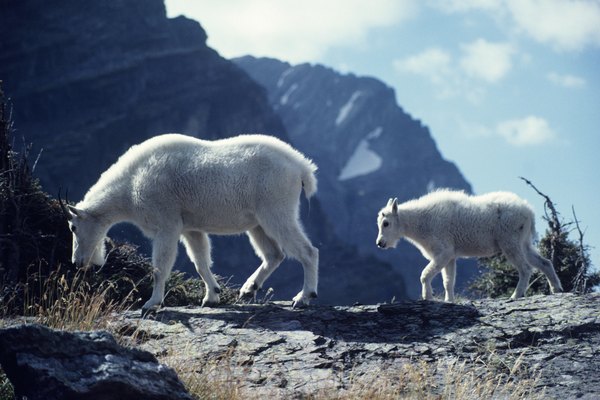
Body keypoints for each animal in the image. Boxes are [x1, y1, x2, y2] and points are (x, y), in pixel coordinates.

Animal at [63, 134, 322, 312]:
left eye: (73, 227)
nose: (78, 263)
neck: (129, 185)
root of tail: (301, 167)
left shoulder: (166, 222)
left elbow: (160, 266)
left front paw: (152, 303)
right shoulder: (190, 227)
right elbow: (200, 261)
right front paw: (212, 296)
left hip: (276, 208)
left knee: (308, 251)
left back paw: (303, 297)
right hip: (257, 221)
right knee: (273, 254)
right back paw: (249, 289)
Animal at [376, 190, 564, 300]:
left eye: (386, 223)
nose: (380, 243)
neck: (420, 222)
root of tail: (529, 212)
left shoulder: (443, 251)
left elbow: (424, 274)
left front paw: (427, 297)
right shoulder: (450, 256)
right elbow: (448, 281)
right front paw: (449, 301)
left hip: (509, 240)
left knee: (525, 268)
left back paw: (515, 295)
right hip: (523, 242)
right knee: (544, 262)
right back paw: (556, 288)